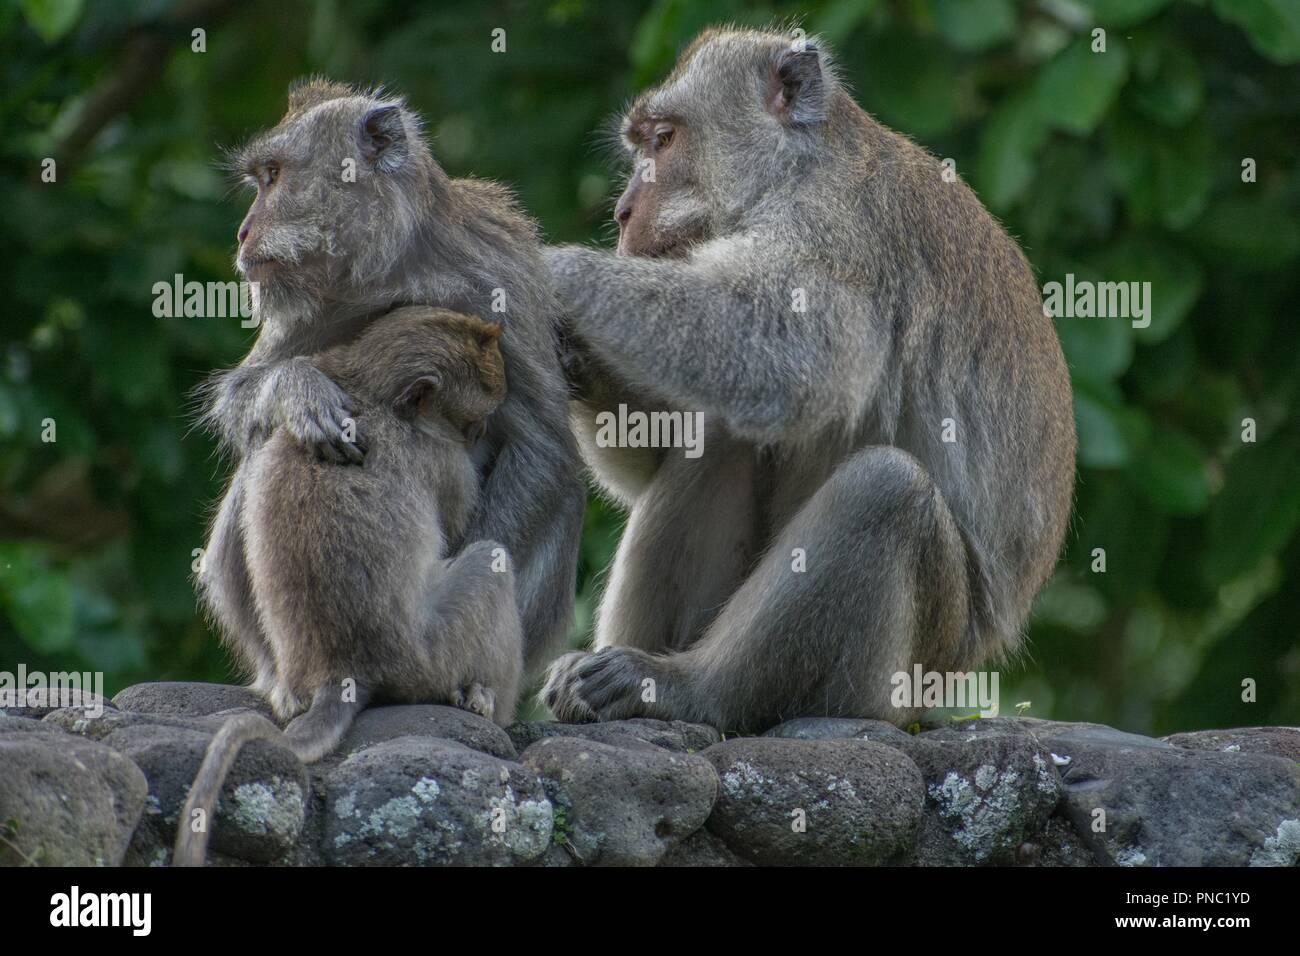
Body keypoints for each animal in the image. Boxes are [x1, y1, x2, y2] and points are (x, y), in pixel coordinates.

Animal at [174, 304, 522, 868]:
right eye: (471, 423)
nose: (482, 432)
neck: (372, 393)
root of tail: (344, 667)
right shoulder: (443, 462)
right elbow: (460, 525)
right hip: (431, 653)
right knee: (491, 564)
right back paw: (488, 702)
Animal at [197, 76, 585, 686]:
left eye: (274, 175)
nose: (242, 232)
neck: (392, 267)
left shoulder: (497, 269)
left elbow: (541, 442)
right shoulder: (305, 304)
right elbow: (242, 394)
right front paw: (298, 390)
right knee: (264, 447)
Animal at [538, 27, 1076, 733]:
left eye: (664, 140)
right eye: (642, 144)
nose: (625, 212)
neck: (793, 169)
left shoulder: (832, 229)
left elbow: (797, 359)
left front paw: (541, 271)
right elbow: (662, 444)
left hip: (902, 674)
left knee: (886, 491)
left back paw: (686, 689)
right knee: (724, 435)